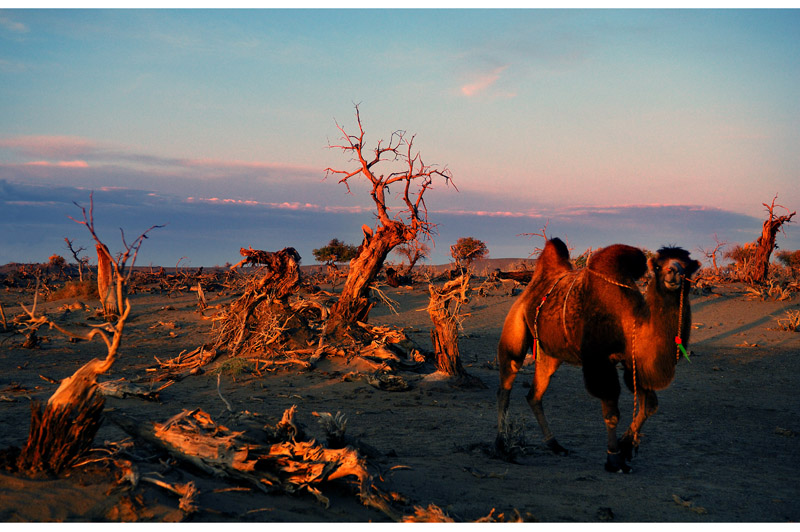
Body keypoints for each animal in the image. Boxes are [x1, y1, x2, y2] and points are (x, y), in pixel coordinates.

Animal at [496, 239, 696, 472]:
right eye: (657, 265)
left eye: (688, 266)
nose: (673, 272)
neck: (629, 321)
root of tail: (532, 287)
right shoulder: (600, 361)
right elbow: (611, 413)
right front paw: (614, 459)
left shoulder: (632, 362)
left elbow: (649, 406)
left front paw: (626, 447)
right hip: (516, 325)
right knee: (507, 381)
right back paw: (501, 444)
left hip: (550, 353)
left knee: (534, 395)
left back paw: (556, 445)